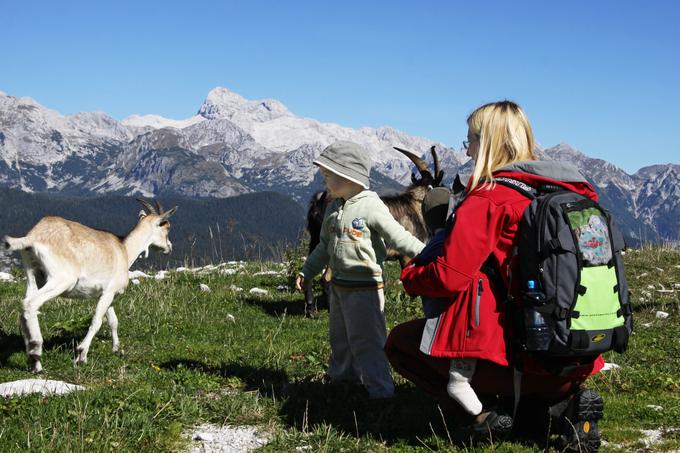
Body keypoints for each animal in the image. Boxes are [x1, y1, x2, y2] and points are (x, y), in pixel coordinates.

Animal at [2, 198, 177, 370]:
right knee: (30, 304)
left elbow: (113, 321)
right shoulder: (109, 292)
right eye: (166, 227)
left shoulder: (106, 294)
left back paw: (31, 355)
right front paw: (81, 355)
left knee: (25, 306)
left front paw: (116, 349)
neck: (124, 250)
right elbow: (96, 321)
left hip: (33, 274)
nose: (169, 247)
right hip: (62, 279)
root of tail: (33, 237)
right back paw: (36, 358)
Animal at [304, 146, 446, 314]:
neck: (415, 206)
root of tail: (319, 200)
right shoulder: (405, 255)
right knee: (325, 277)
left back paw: (311, 308)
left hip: (316, 239)